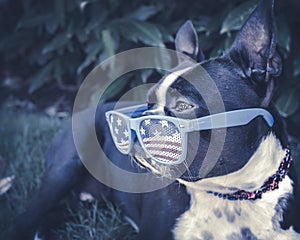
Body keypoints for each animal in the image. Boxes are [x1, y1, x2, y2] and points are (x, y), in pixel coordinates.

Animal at [9, 0, 300, 239]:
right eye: (149, 101)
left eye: (183, 106)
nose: (139, 124)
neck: (235, 196)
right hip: (65, 167)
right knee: (27, 217)